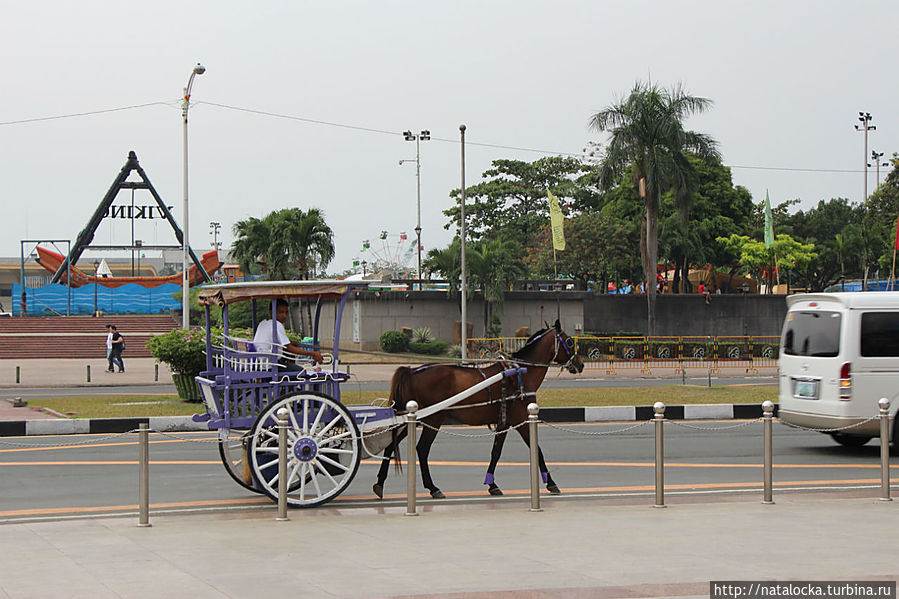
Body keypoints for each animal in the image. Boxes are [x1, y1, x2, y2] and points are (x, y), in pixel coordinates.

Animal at [372, 322, 584, 500]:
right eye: (569, 341)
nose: (580, 364)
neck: (519, 373)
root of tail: (412, 371)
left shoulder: (505, 422)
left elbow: (498, 452)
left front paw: (492, 484)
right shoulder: (520, 420)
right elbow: (534, 450)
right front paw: (550, 483)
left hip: (414, 419)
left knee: (391, 444)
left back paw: (380, 484)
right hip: (433, 419)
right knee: (422, 450)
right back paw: (433, 488)